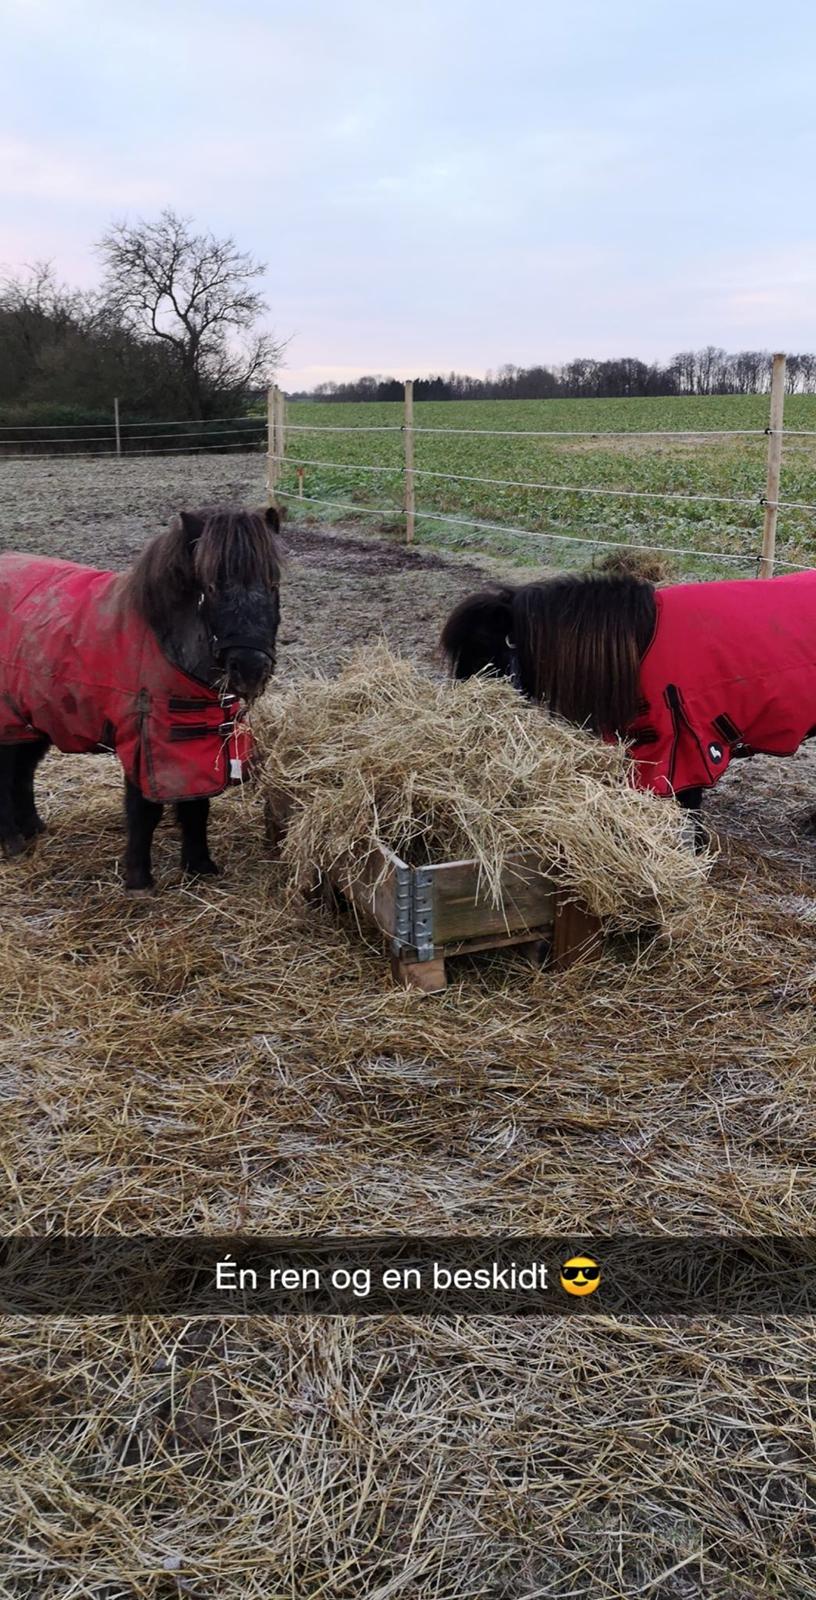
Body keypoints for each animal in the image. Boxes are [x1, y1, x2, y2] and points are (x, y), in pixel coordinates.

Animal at [0, 508, 281, 896]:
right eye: (211, 588)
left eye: (273, 584)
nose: (250, 669)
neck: (162, 644)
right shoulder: (143, 741)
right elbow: (145, 811)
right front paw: (139, 881)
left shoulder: (194, 738)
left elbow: (197, 805)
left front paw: (200, 867)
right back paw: (11, 842)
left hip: (33, 718)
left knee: (22, 770)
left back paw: (32, 829)